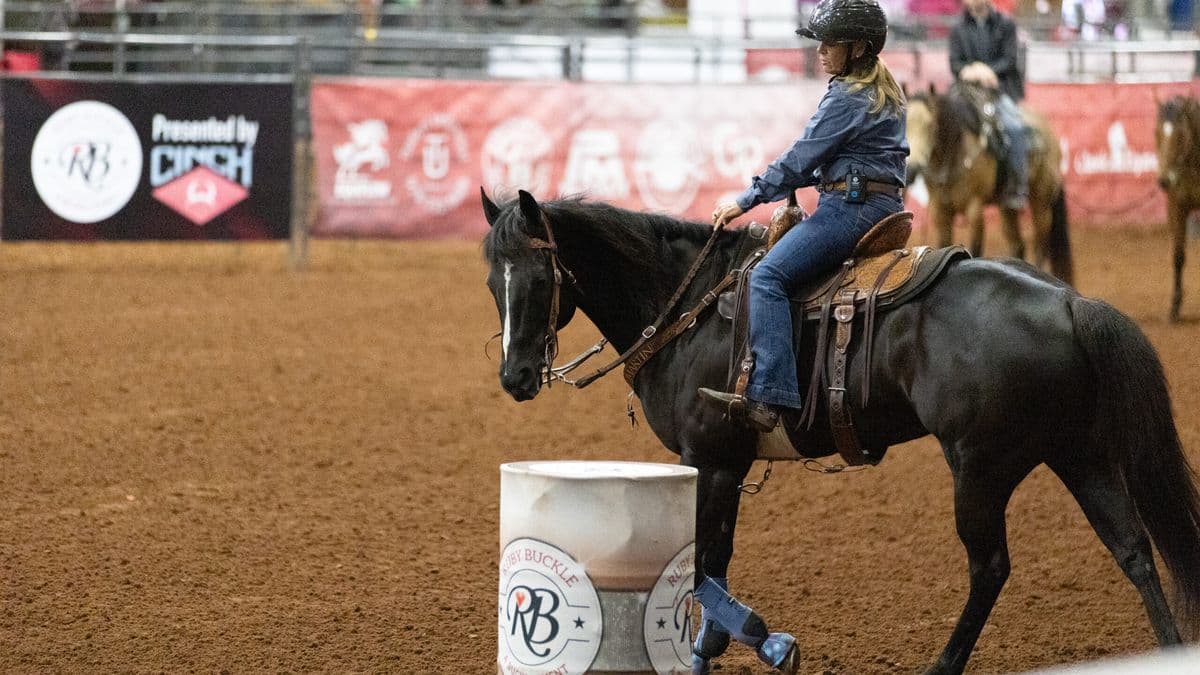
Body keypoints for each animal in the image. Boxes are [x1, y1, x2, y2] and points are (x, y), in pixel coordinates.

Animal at [480, 188, 1200, 675]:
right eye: (492, 281)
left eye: (540, 278)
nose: (515, 376)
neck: (690, 305)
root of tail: (1070, 301)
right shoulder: (729, 465)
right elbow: (715, 562)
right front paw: (717, 647)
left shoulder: (709, 458)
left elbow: (707, 566)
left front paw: (760, 642)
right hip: (1080, 454)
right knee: (1134, 548)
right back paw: (1167, 647)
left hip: (981, 465)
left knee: (990, 565)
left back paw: (943, 663)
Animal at [905, 83, 1074, 285]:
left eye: (930, 125)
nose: (911, 169)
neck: (954, 154)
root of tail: (1050, 135)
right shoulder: (940, 211)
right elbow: (943, 246)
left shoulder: (975, 208)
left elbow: (975, 248)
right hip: (1007, 208)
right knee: (1018, 244)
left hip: (1041, 202)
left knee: (1040, 245)